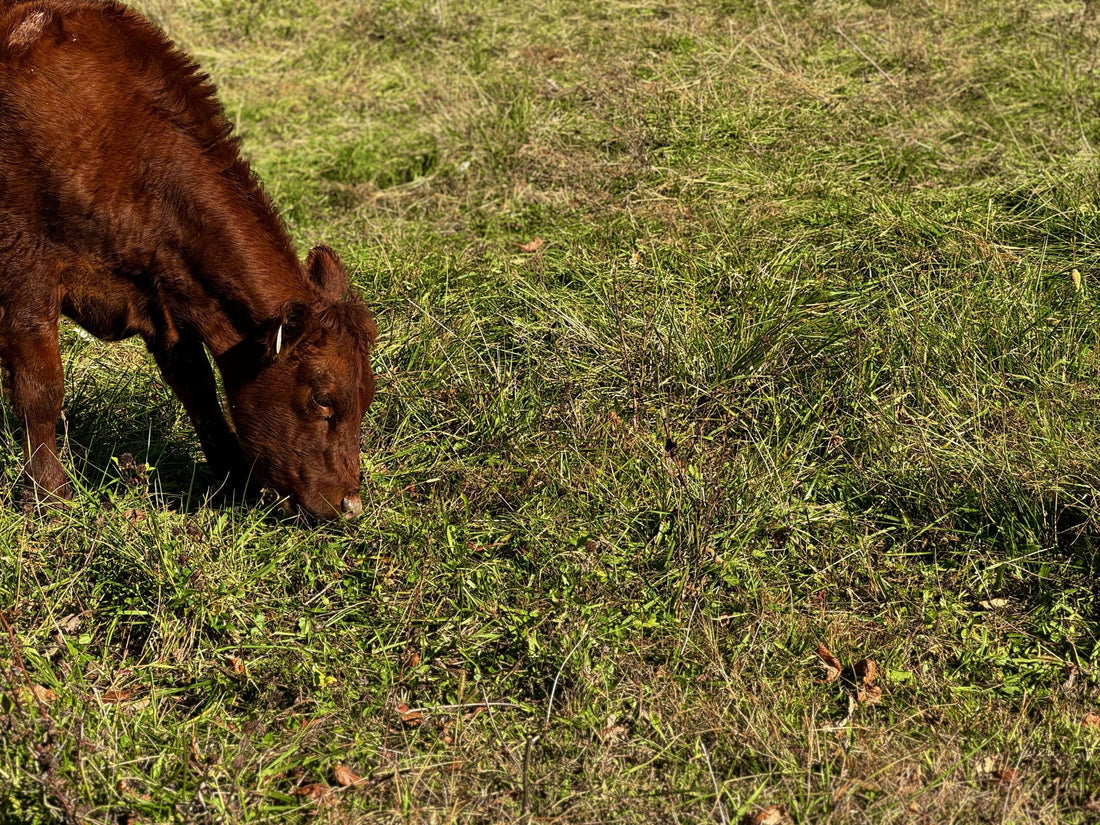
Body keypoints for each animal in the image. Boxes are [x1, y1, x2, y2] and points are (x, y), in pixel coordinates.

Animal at [0, 0, 377, 519]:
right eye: (323, 399)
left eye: (368, 397)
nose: (350, 504)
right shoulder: (27, 269)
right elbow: (41, 388)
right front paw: (49, 493)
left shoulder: (161, 291)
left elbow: (197, 386)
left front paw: (236, 478)